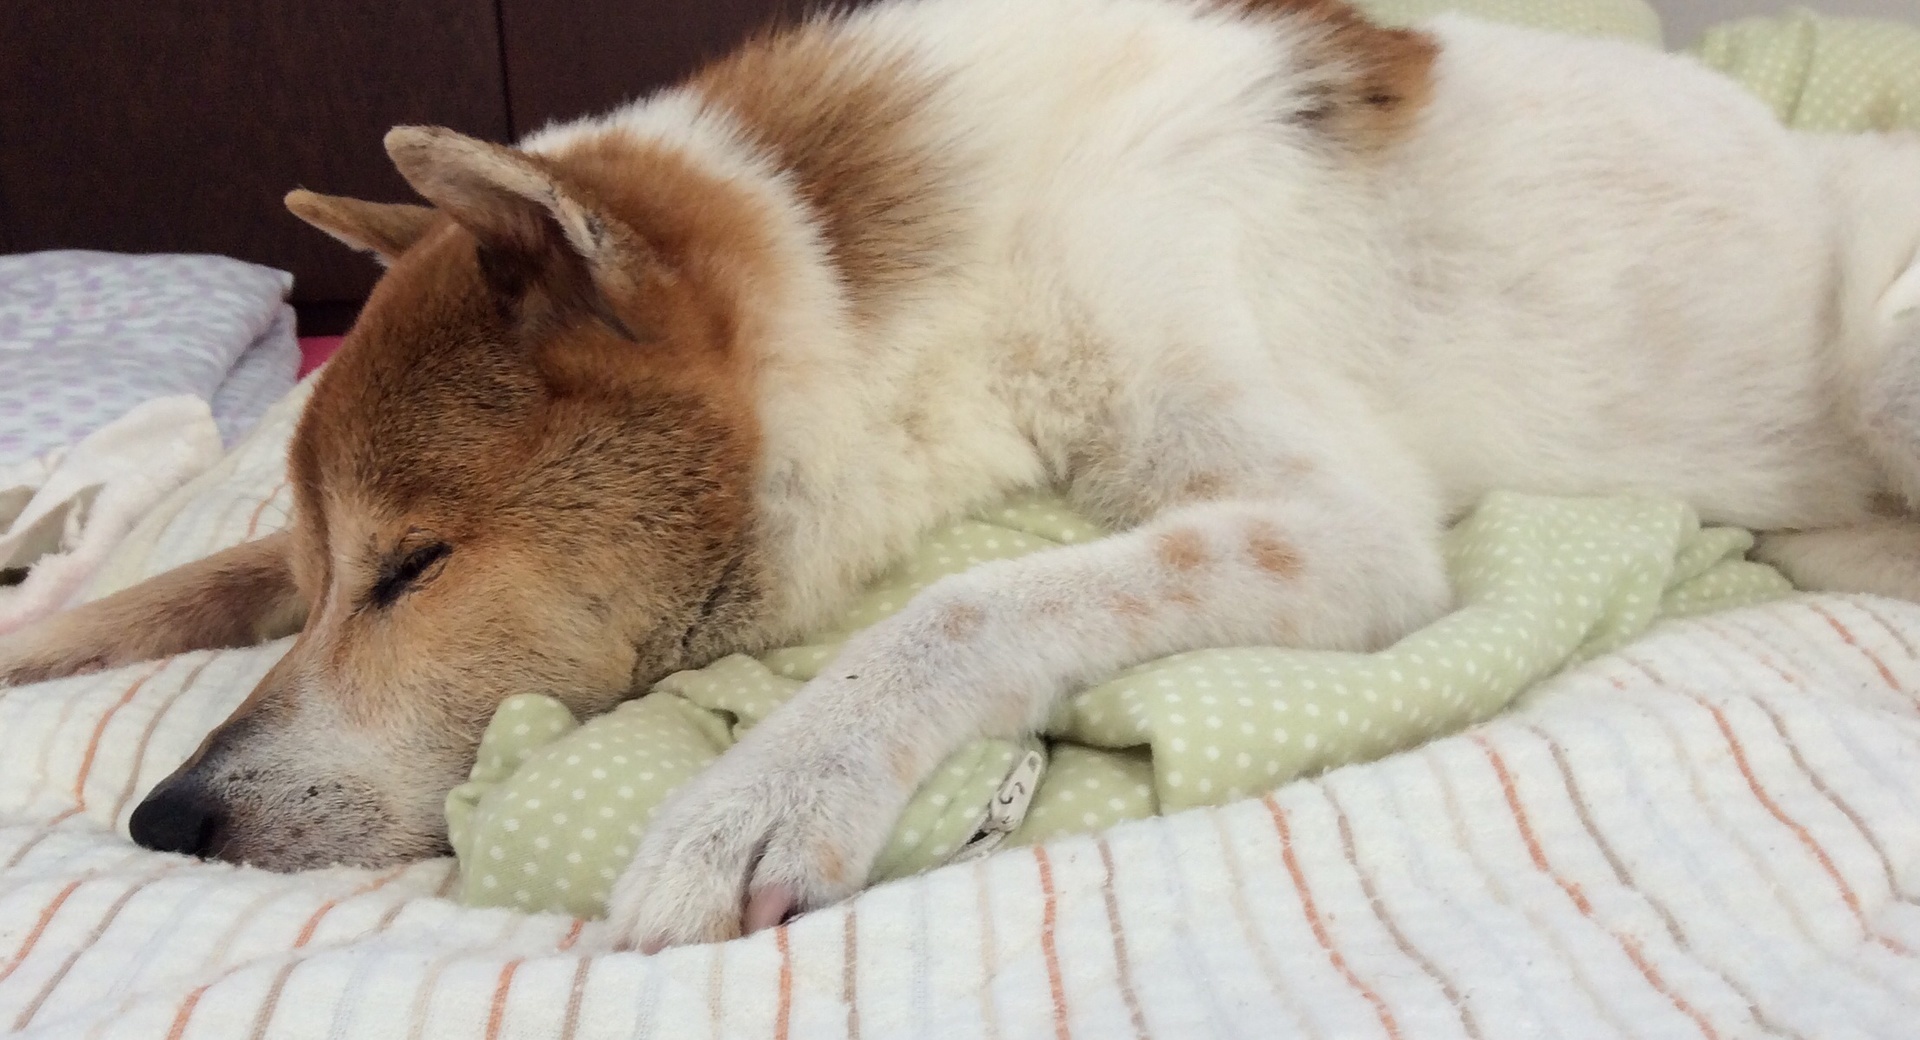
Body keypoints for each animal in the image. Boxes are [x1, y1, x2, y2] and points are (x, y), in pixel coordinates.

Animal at [3, 0, 1920, 955]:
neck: (947, 264)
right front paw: (47, 627)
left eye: (417, 572)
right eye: (341, 570)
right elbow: (208, 568)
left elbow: (970, 601)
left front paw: (764, 790)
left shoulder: (1337, 528)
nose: (168, 821)